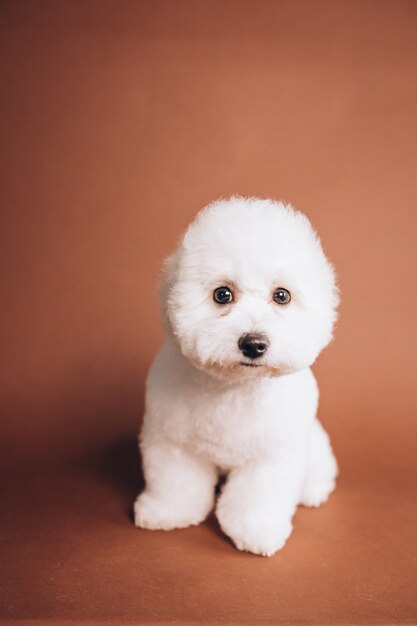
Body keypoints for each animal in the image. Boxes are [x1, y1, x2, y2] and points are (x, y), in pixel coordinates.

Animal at [133, 196, 338, 556]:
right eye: (222, 294)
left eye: (282, 295)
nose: (253, 344)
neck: (234, 387)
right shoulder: (173, 441)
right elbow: (174, 481)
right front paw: (167, 511)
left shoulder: (272, 455)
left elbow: (258, 496)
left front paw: (257, 530)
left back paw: (313, 490)